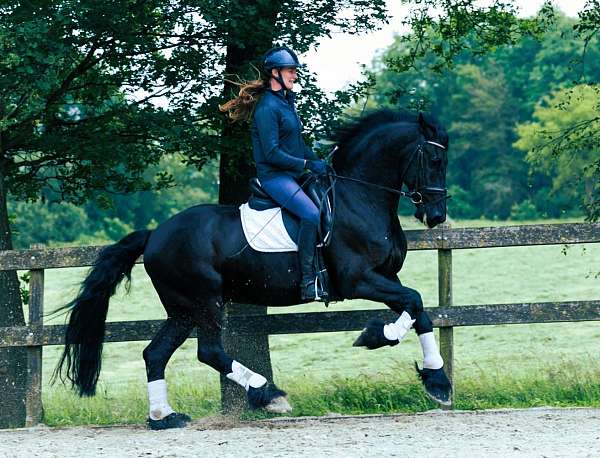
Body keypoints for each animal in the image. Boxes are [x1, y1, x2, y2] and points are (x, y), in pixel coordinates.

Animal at [56, 109, 450, 428]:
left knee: (155, 353)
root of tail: (155, 235)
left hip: (182, 309)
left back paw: (164, 418)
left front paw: (437, 381)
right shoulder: (360, 280)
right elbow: (415, 302)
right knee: (209, 351)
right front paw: (377, 336)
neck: (359, 198)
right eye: (432, 159)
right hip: (205, 301)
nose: (436, 216)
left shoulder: (386, 276)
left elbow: (418, 310)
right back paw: (270, 395)